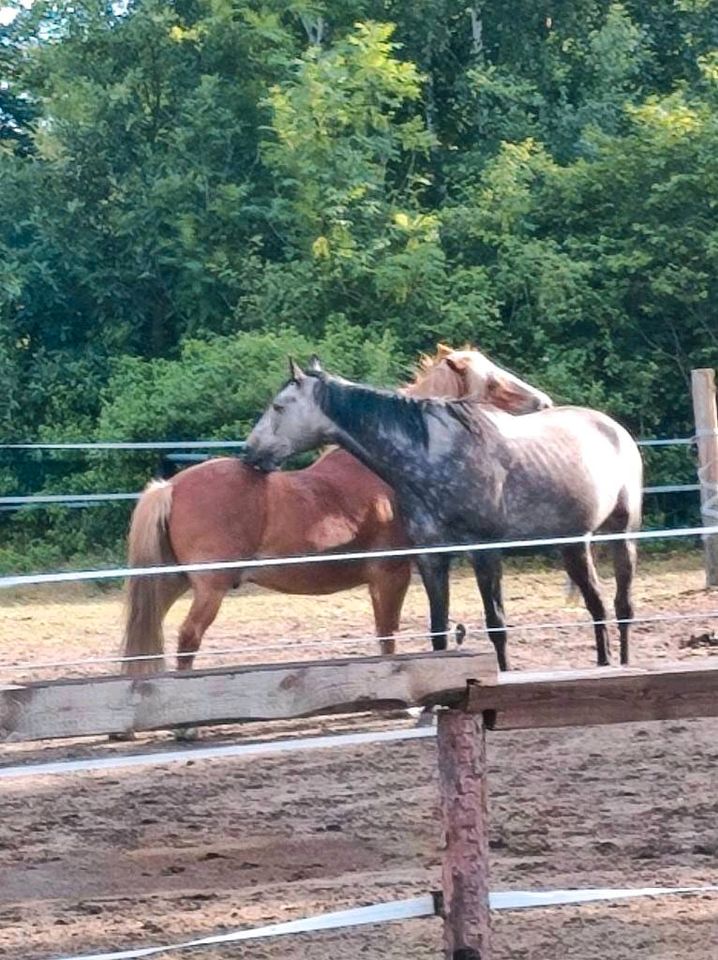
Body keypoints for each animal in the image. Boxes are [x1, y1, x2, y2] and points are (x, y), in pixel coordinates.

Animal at [122, 344, 552, 676]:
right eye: (493, 382)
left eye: (278, 406)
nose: (544, 403)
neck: (388, 470)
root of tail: (170, 486)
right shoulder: (391, 575)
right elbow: (388, 635)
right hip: (209, 590)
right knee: (187, 638)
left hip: (171, 582)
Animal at [245, 358, 644, 668]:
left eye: (279, 406)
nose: (250, 452)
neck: (430, 457)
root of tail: (614, 428)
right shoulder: (431, 558)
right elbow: (437, 630)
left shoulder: (484, 553)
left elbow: (496, 623)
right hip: (574, 544)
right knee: (597, 605)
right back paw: (605, 664)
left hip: (622, 534)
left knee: (622, 604)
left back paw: (625, 665)